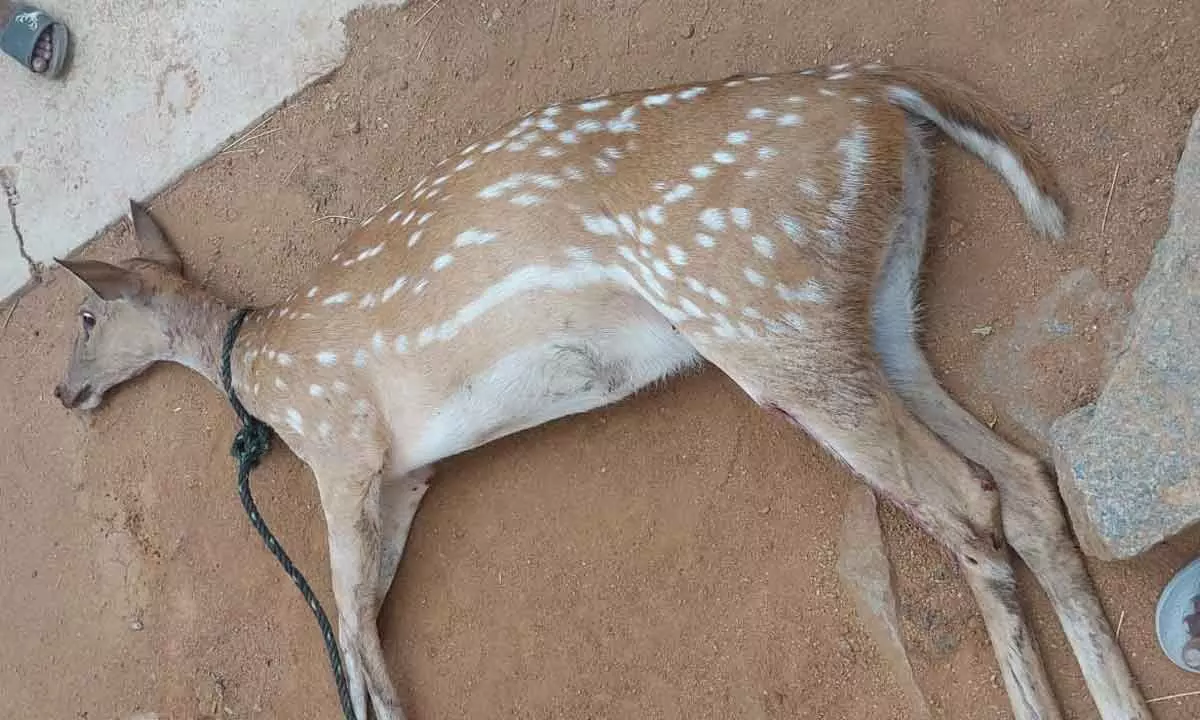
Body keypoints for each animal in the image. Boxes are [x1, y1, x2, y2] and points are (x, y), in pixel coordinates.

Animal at [52, 63, 1152, 720]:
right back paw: (1120, 699)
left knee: (965, 499)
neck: (257, 365)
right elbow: (363, 621)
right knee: (1025, 476)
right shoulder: (407, 475)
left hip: (760, 314)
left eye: (87, 317)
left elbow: (349, 625)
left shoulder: (342, 445)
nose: (64, 394)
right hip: (874, 307)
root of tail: (882, 92)